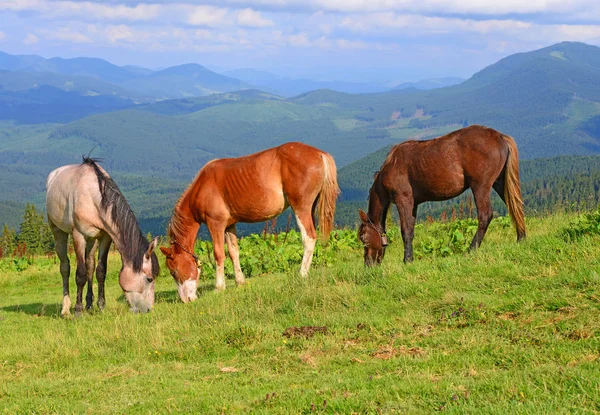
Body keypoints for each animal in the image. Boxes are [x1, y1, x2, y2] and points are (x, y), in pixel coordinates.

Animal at [46, 157, 159, 316]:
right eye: (149, 279)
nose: (148, 309)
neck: (93, 198)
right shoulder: (78, 236)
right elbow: (80, 274)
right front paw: (78, 310)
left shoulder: (105, 237)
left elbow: (100, 271)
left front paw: (100, 306)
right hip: (58, 232)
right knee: (65, 267)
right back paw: (66, 309)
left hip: (92, 240)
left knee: (90, 265)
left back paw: (89, 304)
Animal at [162, 142, 340, 302]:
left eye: (174, 272)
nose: (186, 300)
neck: (203, 186)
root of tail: (320, 154)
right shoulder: (229, 225)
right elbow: (234, 252)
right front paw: (240, 282)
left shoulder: (216, 224)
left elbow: (219, 254)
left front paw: (219, 287)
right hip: (310, 208)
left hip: (301, 208)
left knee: (309, 238)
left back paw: (302, 274)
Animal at [356, 124, 524, 266]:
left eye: (363, 238)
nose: (368, 264)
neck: (392, 165)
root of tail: (500, 136)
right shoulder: (413, 204)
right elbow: (411, 229)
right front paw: (410, 258)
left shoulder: (403, 199)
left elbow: (405, 230)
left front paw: (407, 260)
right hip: (499, 183)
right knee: (515, 207)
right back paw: (521, 238)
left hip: (480, 186)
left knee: (485, 215)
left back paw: (471, 249)